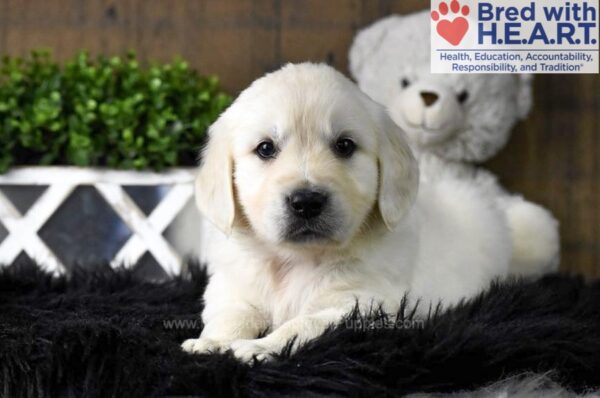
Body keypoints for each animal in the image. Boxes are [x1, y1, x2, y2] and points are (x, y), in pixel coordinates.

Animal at [182, 63, 510, 364]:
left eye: (344, 145)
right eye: (265, 148)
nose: (306, 202)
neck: (298, 259)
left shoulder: (366, 304)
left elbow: (304, 323)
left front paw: (261, 346)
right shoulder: (232, 287)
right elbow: (232, 314)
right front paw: (212, 342)